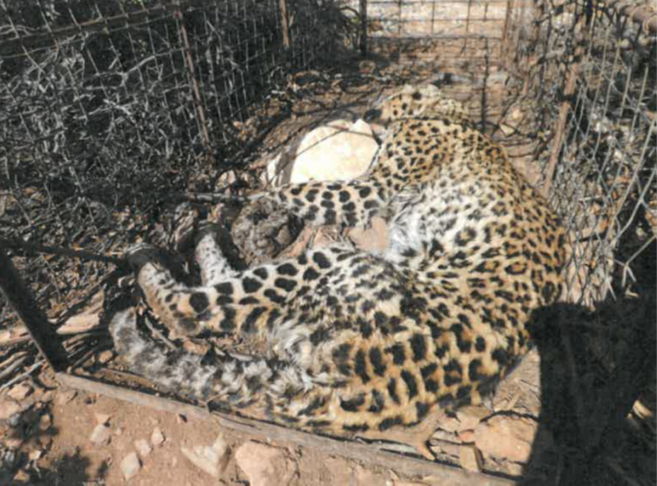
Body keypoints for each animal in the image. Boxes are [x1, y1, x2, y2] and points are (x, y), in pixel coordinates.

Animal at [110, 84, 568, 446]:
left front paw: (242, 204)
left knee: (191, 309)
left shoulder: (373, 186)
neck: (450, 115)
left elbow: (296, 188)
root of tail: (371, 392)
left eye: (387, 94)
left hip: (330, 262)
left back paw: (155, 251)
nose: (368, 108)